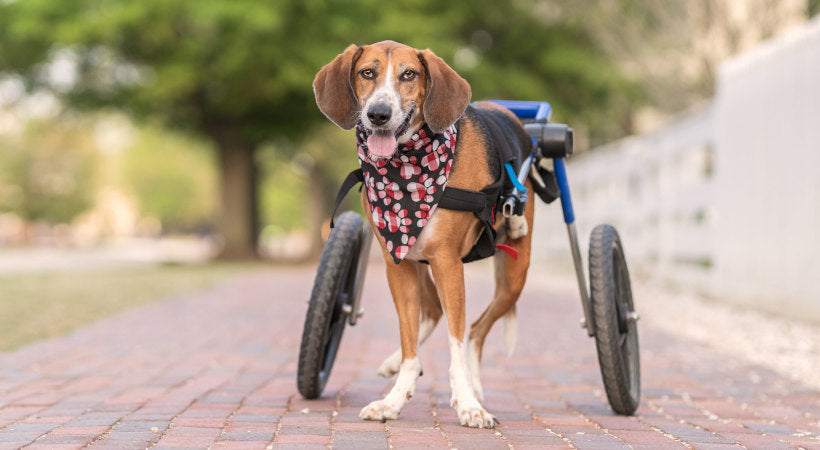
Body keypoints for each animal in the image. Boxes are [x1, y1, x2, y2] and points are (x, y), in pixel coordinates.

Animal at [312, 41, 532, 428]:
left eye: (409, 74)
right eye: (367, 72)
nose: (378, 114)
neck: (408, 170)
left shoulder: (448, 264)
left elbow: (456, 341)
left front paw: (468, 404)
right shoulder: (397, 263)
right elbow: (410, 340)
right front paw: (394, 399)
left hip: (513, 277)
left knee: (476, 330)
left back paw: (476, 386)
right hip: (417, 260)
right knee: (432, 312)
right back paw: (396, 364)